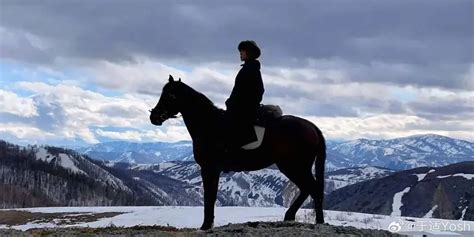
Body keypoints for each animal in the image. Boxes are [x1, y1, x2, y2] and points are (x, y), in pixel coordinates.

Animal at [149, 75, 326, 230]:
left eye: (171, 95)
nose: (154, 117)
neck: (209, 124)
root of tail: (311, 126)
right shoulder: (212, 170)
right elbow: (211, 196)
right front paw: (208, 224)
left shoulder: (209, 168)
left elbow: (209, 197)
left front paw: (206, 225)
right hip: (294, 168)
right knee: (307, 189)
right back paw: (292, 217)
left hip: (295, 167)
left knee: (313, 189)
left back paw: (317, 221)